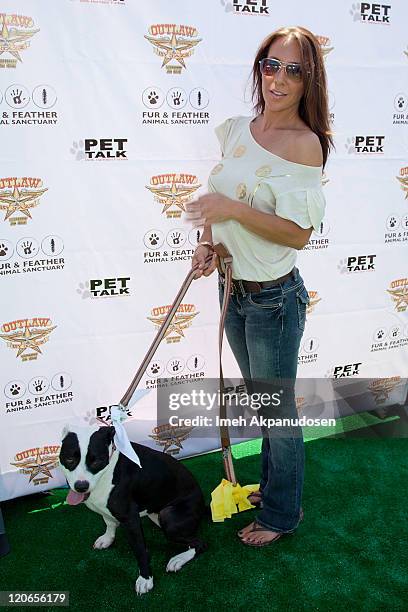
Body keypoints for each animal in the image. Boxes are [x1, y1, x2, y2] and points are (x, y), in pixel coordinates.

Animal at [59, 426, 207, 592]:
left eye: (96, 460)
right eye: (69, 459)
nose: (81, 486)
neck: (108, 470)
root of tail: (203, 505)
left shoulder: (130, 519)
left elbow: (140, 550)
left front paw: (145, 579)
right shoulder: (108, 509)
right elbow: (109, 522)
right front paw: (107, 538)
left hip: (168, 517)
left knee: (199, 543)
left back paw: (179, 559)